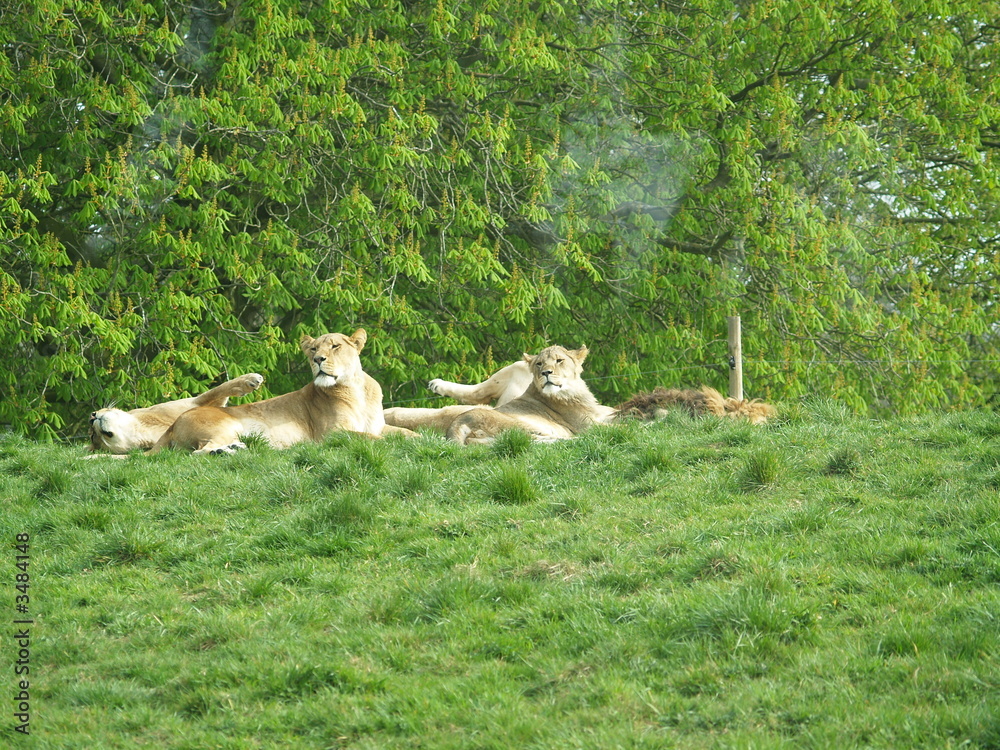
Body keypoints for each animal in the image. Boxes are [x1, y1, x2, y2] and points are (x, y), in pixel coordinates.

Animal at [89, 372, 265, 454]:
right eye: (93, 436)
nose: (92, 417)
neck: (141, 429)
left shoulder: (196, 403)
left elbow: (219, 389)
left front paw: (250, 380)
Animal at [148, 329, 406, 454]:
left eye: (335, 346)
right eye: (313, 349)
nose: (317, 359)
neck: (355, 389)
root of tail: (173, 426)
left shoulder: (378, 425)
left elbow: (403, 433)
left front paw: (415, 438)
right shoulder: (332, 434)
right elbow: (374, 439)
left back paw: (232, 449)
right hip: (226, 425)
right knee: (197, 452)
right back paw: (225, 452)